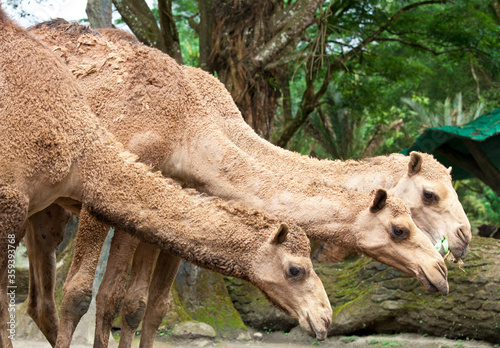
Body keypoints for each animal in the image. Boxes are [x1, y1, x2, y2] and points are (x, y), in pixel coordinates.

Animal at [0, 10, 336, 348]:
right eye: (296, 270)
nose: (324, 318)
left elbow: (137, 301)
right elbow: (80, 293)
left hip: (47, 213)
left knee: (41, 298)